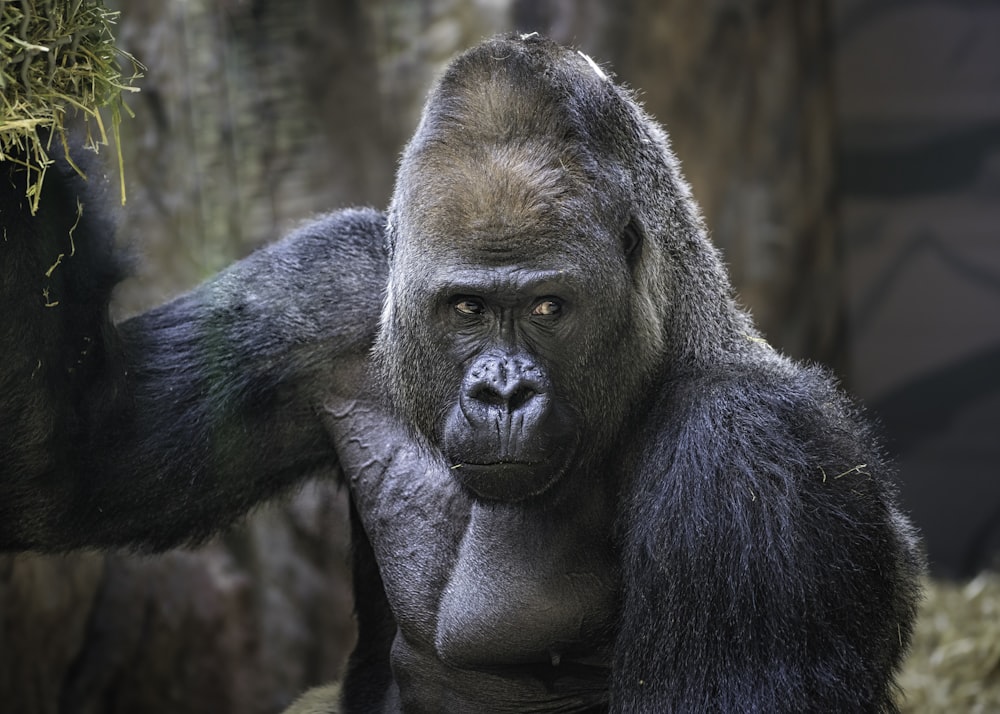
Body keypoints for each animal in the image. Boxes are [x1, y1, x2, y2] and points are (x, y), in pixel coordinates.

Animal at [0, 34, 920, 712]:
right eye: (467, 308)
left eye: (549, 307)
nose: (500, 390)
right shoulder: (335, 284)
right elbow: (74, 453)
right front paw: (25, 98)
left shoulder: (753, 455)